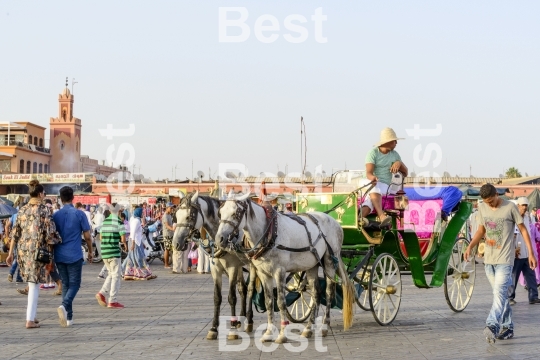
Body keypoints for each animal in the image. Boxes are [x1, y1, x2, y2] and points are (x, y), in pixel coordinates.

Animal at [173, 191, 255, 340]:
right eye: (176, 215)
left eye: (189, 216)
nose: (176, 243)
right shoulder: (216, 269)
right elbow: (217, 297)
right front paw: (214, 328)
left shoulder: (232, 267)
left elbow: (231, 297)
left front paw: (232, 329)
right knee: (243, 289)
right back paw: (241, 318)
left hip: (252, 265)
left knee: (251, 289)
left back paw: (249, 320)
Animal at [215, 194, 354, 344]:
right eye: (220, 213)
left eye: (235, 213)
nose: (219, 239)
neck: (268, 232)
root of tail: (335, 222)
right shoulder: (264, 273)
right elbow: (269, 302)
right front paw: (269, 333)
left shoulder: (279, 272)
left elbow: (281, 303)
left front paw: (282, 335)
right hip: (312, 266)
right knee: (316, 294)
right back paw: (308, 329)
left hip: (329, 263)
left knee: (329, 293)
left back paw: (324, 326)